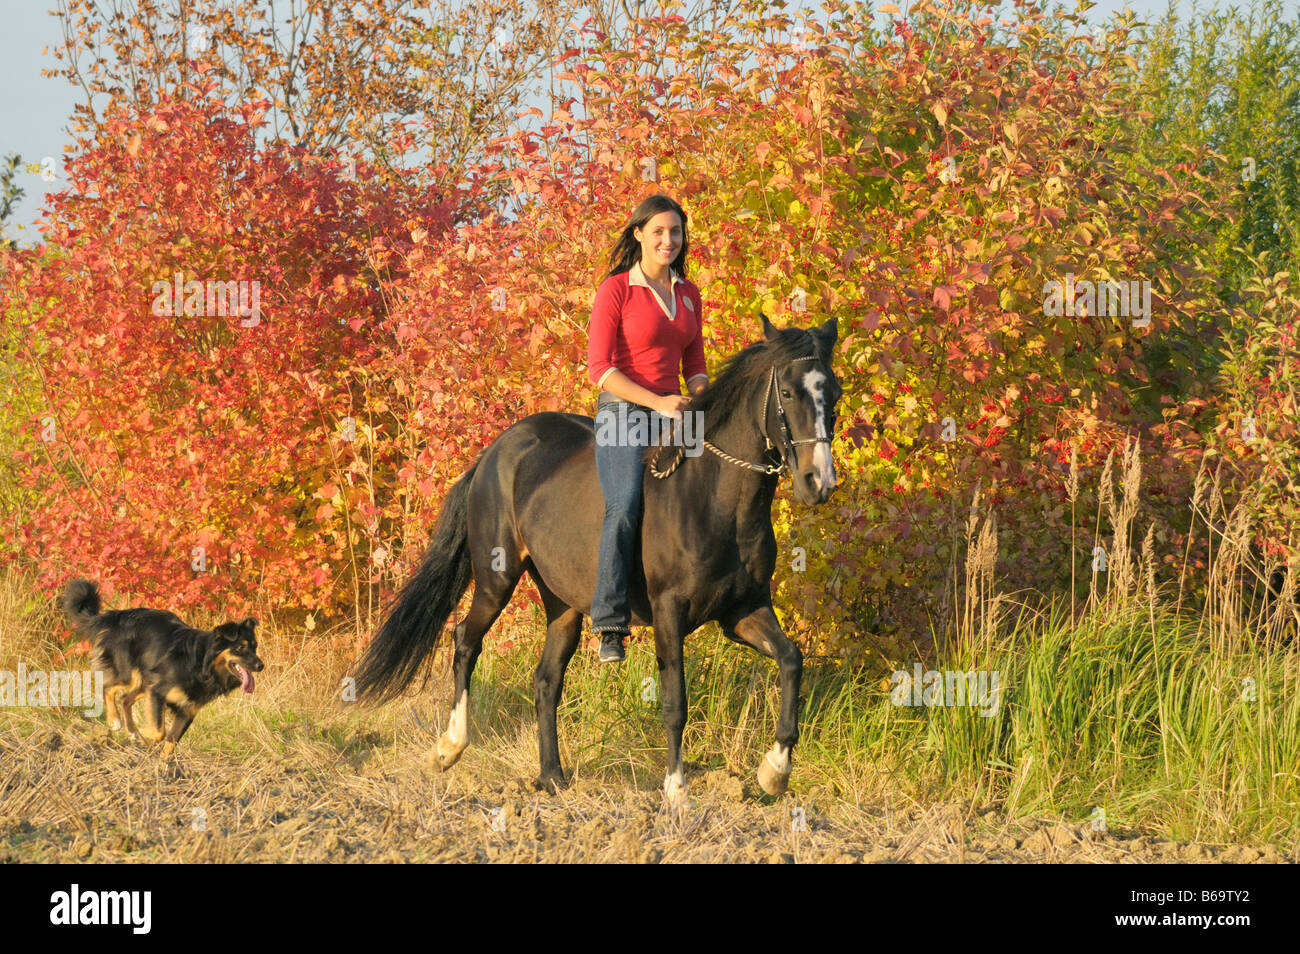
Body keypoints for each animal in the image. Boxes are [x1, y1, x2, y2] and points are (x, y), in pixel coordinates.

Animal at [61, 579, 263, 759]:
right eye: (240, 648)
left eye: (255, 647)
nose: (261, 666)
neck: (202, 666)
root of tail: (117, 615)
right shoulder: (158, 693)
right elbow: (159, 732)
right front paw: (144, 734)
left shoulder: (187, 711)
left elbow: (171, 741)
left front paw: (163, 765)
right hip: (131, 675)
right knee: (108, 688)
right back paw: (116, 721)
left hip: (146, 682)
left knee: (125, 699)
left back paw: (132, 731)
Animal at [353, 314, 842, 800]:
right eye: (787, 393)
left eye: (834, 394)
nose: (818, 483)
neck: (713, 500)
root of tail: (495, 452)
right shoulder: (669, 611)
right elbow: (675, 702)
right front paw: (676, 789)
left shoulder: (743, 610)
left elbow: (792, 659)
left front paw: (774, 771)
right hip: (496, 578)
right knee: (465, 641)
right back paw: (449, 748)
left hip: (563, 602)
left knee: (546, 679)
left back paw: (551, 776)